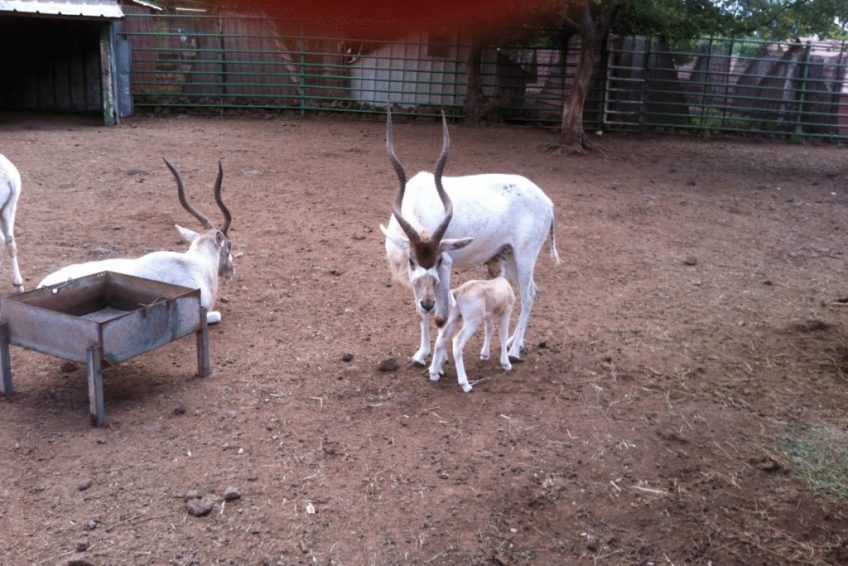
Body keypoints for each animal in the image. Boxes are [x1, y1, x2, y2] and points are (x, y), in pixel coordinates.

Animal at [379, 109, 559, 366]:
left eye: (438, 260)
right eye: (412, 261)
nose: (428, 302)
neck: (417, 202)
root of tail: (547, 202)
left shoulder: (446, 265)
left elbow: (441, 315)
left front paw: (440, 358)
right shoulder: (415, 277)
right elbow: (421, 312)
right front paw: (421, 354)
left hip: (525, 256)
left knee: (527, 295)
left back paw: (514, 351)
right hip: (510, 255)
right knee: (533, 291)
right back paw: (513, 342)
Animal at [428, 260, 516, 392]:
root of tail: (458, 292)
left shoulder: (488, 315)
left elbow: (490, 330)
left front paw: (484, 355)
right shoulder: (507, 310)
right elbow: (503, 334)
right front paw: (506, 364)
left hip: (455, 316)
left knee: (442, 337)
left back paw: (433, 373)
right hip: (472, 321)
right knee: (457, 341)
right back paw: (465, 384)